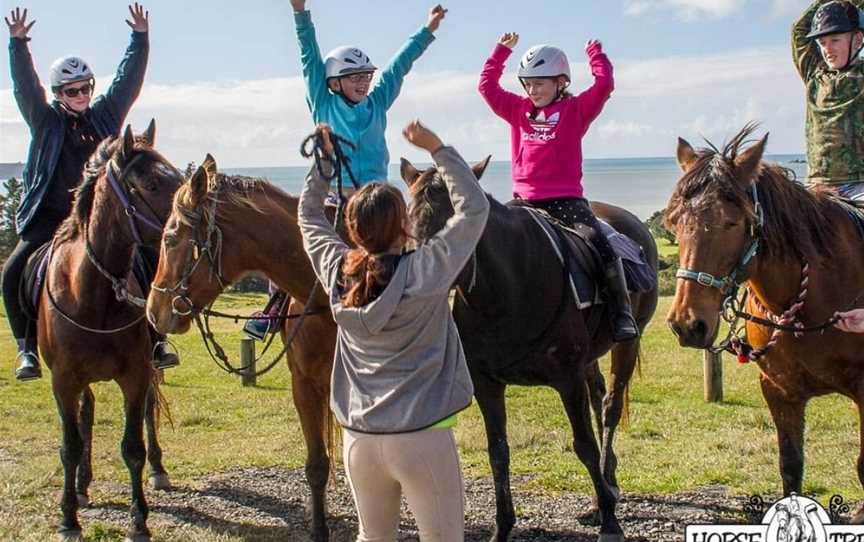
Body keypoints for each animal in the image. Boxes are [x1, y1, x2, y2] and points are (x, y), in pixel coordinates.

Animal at [43, 123, 181, 542]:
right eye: (152, 184)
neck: (94, 295)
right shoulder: (63, 381)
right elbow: (69, 445)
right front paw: (68, 517)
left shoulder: (135, 375)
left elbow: (133, 446)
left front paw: (139, 520)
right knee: (85, 416)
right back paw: (82, 486)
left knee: (148, 414)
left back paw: (158, 470)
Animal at [402, 155, 660, 540]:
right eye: (409, 213)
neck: (505, 291)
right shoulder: (487, 383)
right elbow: (498, 452)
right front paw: (503, 527)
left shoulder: (567, 378)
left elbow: (584, 445)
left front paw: (611, 523)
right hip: (589, 358)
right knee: (598, 396)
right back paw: (604, 490)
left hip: (628, 341)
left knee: (610, 408)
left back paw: (604, 495)